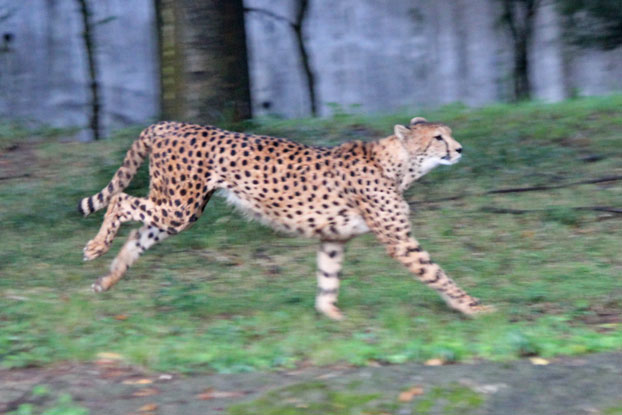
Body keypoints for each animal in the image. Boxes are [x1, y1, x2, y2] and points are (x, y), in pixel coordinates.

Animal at [80, 118, 494, 320]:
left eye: (448, 135)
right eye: (438, 137)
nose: (459, 149)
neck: (399, 164)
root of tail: (170, 123)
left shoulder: (333, 238)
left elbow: (328, 278)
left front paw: (332, 316)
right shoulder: (401, 241)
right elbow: (437, 273)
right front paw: (475, 307)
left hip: (178, 209)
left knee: (138, 236)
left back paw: (106, 280)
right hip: (180, 206)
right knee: (120, 200)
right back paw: (96, 247)